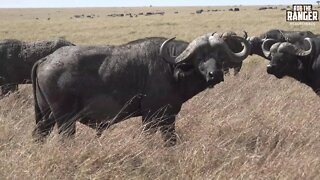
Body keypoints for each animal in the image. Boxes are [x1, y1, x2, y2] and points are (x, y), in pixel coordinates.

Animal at [30, 32, 250, 146]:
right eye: (201, 57)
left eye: (220, 56)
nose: (216, 75)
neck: (171, 68)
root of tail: (46, 59)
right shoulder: (151, 116)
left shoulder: (168, 117)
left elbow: (171, 140)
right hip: (65, 120)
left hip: (46, 118)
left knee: (39, 135)